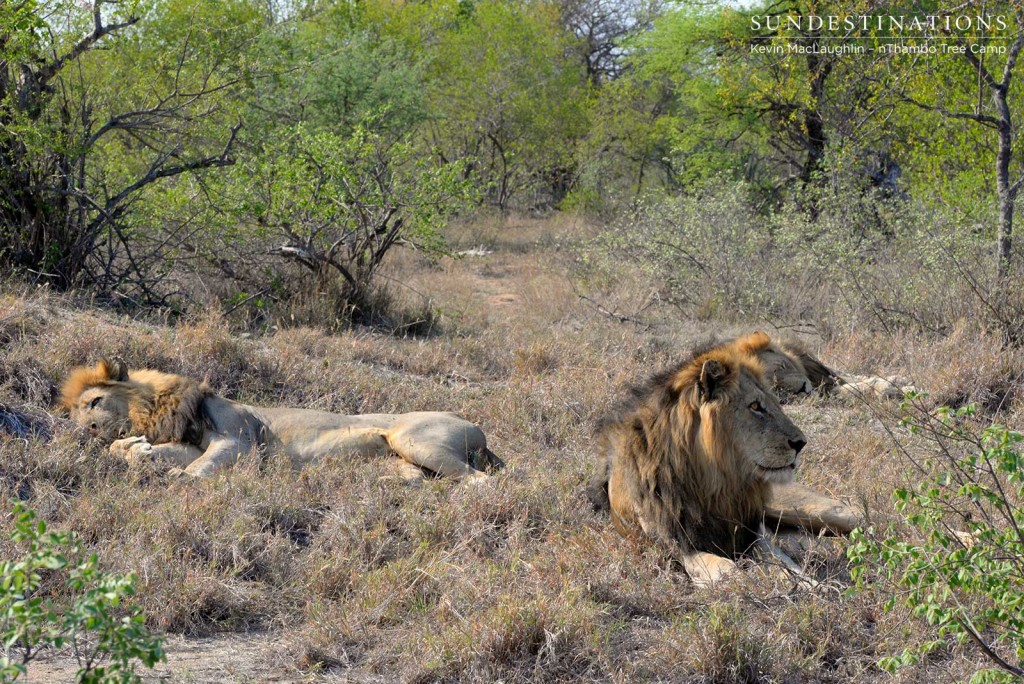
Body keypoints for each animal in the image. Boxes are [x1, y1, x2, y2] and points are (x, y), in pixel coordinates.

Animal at [59, 358, 499, 481]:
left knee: (479, 482)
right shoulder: (189, 443)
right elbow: (146, 452)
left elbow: (199, 469)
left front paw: (177, 479)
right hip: (405, 462)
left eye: (95, 402)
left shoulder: (239, 439)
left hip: (412, 439)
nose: (88, 431)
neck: (156, 410)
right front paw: (136, 451)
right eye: (77, 415)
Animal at [589, 333, 860, 585]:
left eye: (776, 403)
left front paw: (803, 582)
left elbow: (776, 559)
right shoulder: (676, 542)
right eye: (755, 406)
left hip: (805, 509)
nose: (801, 443)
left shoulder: (752, 530)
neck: (716, 481)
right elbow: (721, 566)